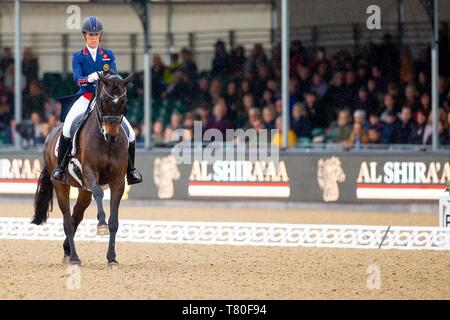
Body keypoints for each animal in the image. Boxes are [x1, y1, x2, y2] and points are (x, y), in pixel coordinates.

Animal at [32, 72, 132, 268]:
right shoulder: (90, 173)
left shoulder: (118, 181)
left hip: (84, 190)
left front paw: (112, 259)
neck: (106, 142)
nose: (112, 135)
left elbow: (114, 222)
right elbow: (100, 194)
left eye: (123, 101)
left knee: (76, 216)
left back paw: (67, 252)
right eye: (103, 101)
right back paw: (74, 258)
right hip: (61, 185)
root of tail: (50, 134)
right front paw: (101, 225)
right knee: (68, 222)